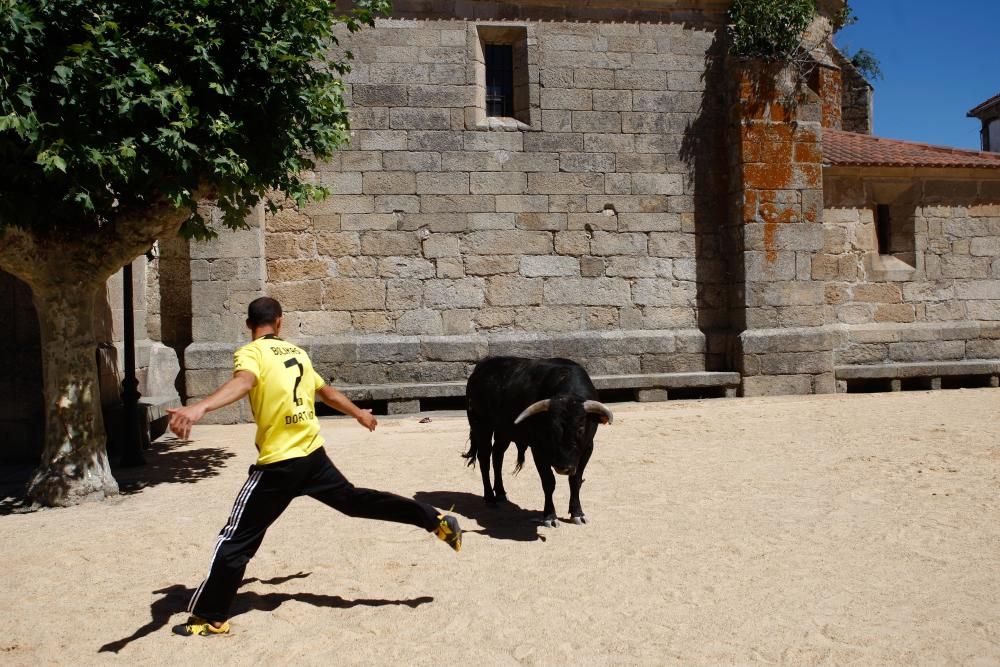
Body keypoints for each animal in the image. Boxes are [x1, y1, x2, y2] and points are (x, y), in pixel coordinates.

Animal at [464, 354, 612, 528]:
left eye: (581, 428)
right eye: (551, 428)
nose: (563, 468)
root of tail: (482, 365)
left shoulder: (587, 448)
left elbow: (575, 480)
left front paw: (577, 513)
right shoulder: (538, 449)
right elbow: (548, 482)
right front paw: (550, 516)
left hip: (503, 431)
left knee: (497, 456)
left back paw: (500, 493)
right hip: (481, 426)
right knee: (485, 459)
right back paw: (490, 498)